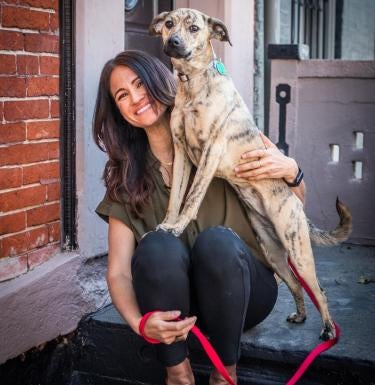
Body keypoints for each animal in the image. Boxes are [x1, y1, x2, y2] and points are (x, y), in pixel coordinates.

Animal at [149, 7, 352, 340]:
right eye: (168, 24)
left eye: (194, 28)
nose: (174, 42)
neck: (193, 83)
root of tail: (298, 208)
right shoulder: (180, 153)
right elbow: (175, 198)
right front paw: (168, 224)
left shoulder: (210, 152)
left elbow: (191, 199)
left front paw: (177, 227)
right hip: (274, 253)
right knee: (295, 285)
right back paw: (300, 315)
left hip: (298, 250)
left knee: (319, 289)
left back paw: (326, 329)